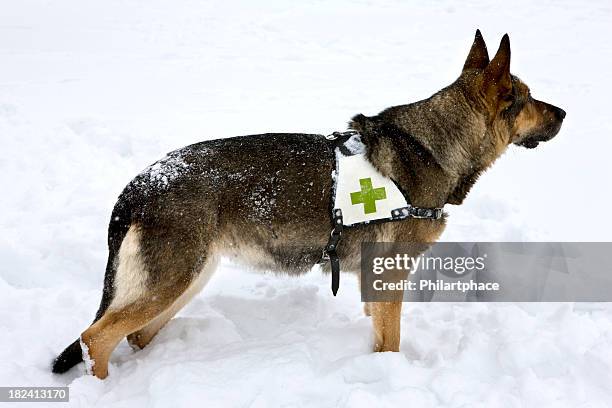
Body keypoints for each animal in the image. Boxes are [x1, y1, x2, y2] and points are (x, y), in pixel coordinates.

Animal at [51, 30, 564, 378]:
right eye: (527, 98)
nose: (564, 112)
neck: (432, 145)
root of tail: (138, 185)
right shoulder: (391, 275)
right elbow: (391, 343)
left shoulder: (374, 281)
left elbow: (378, 331)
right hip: (173, 280)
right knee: (96, 337)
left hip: (188, 279)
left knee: (133, 334)